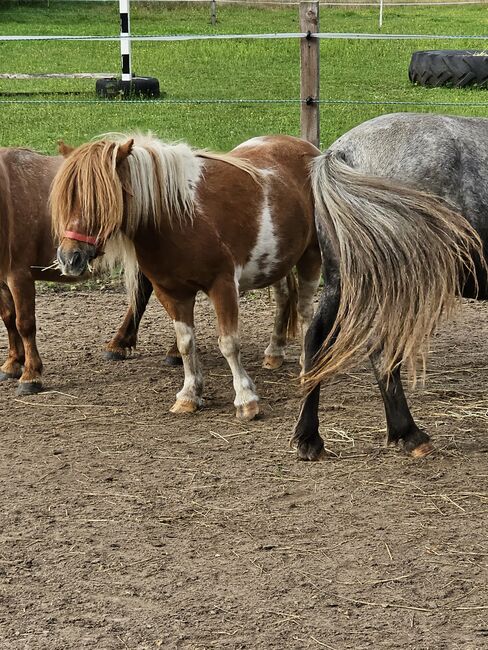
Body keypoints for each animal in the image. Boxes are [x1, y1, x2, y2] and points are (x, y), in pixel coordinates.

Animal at [0, 144, 173, 392]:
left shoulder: (19, 275)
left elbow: (24, 323)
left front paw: (31, 374)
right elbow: (8, 318)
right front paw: (13, 363)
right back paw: (118, 344)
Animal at [52, 134, 324, 418]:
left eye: (100, 200)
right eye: (67, 199)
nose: (69, 258)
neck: (179, 218)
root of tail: (306, 148)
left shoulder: (223, 286)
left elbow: (229, 343)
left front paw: (246, 399)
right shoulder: (172, 293)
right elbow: (185, 344)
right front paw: (189, 395)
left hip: (311, 255)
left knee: (305, 310)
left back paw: (308, 366)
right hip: (276, 262)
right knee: (284, 299)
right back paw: (274, 352)